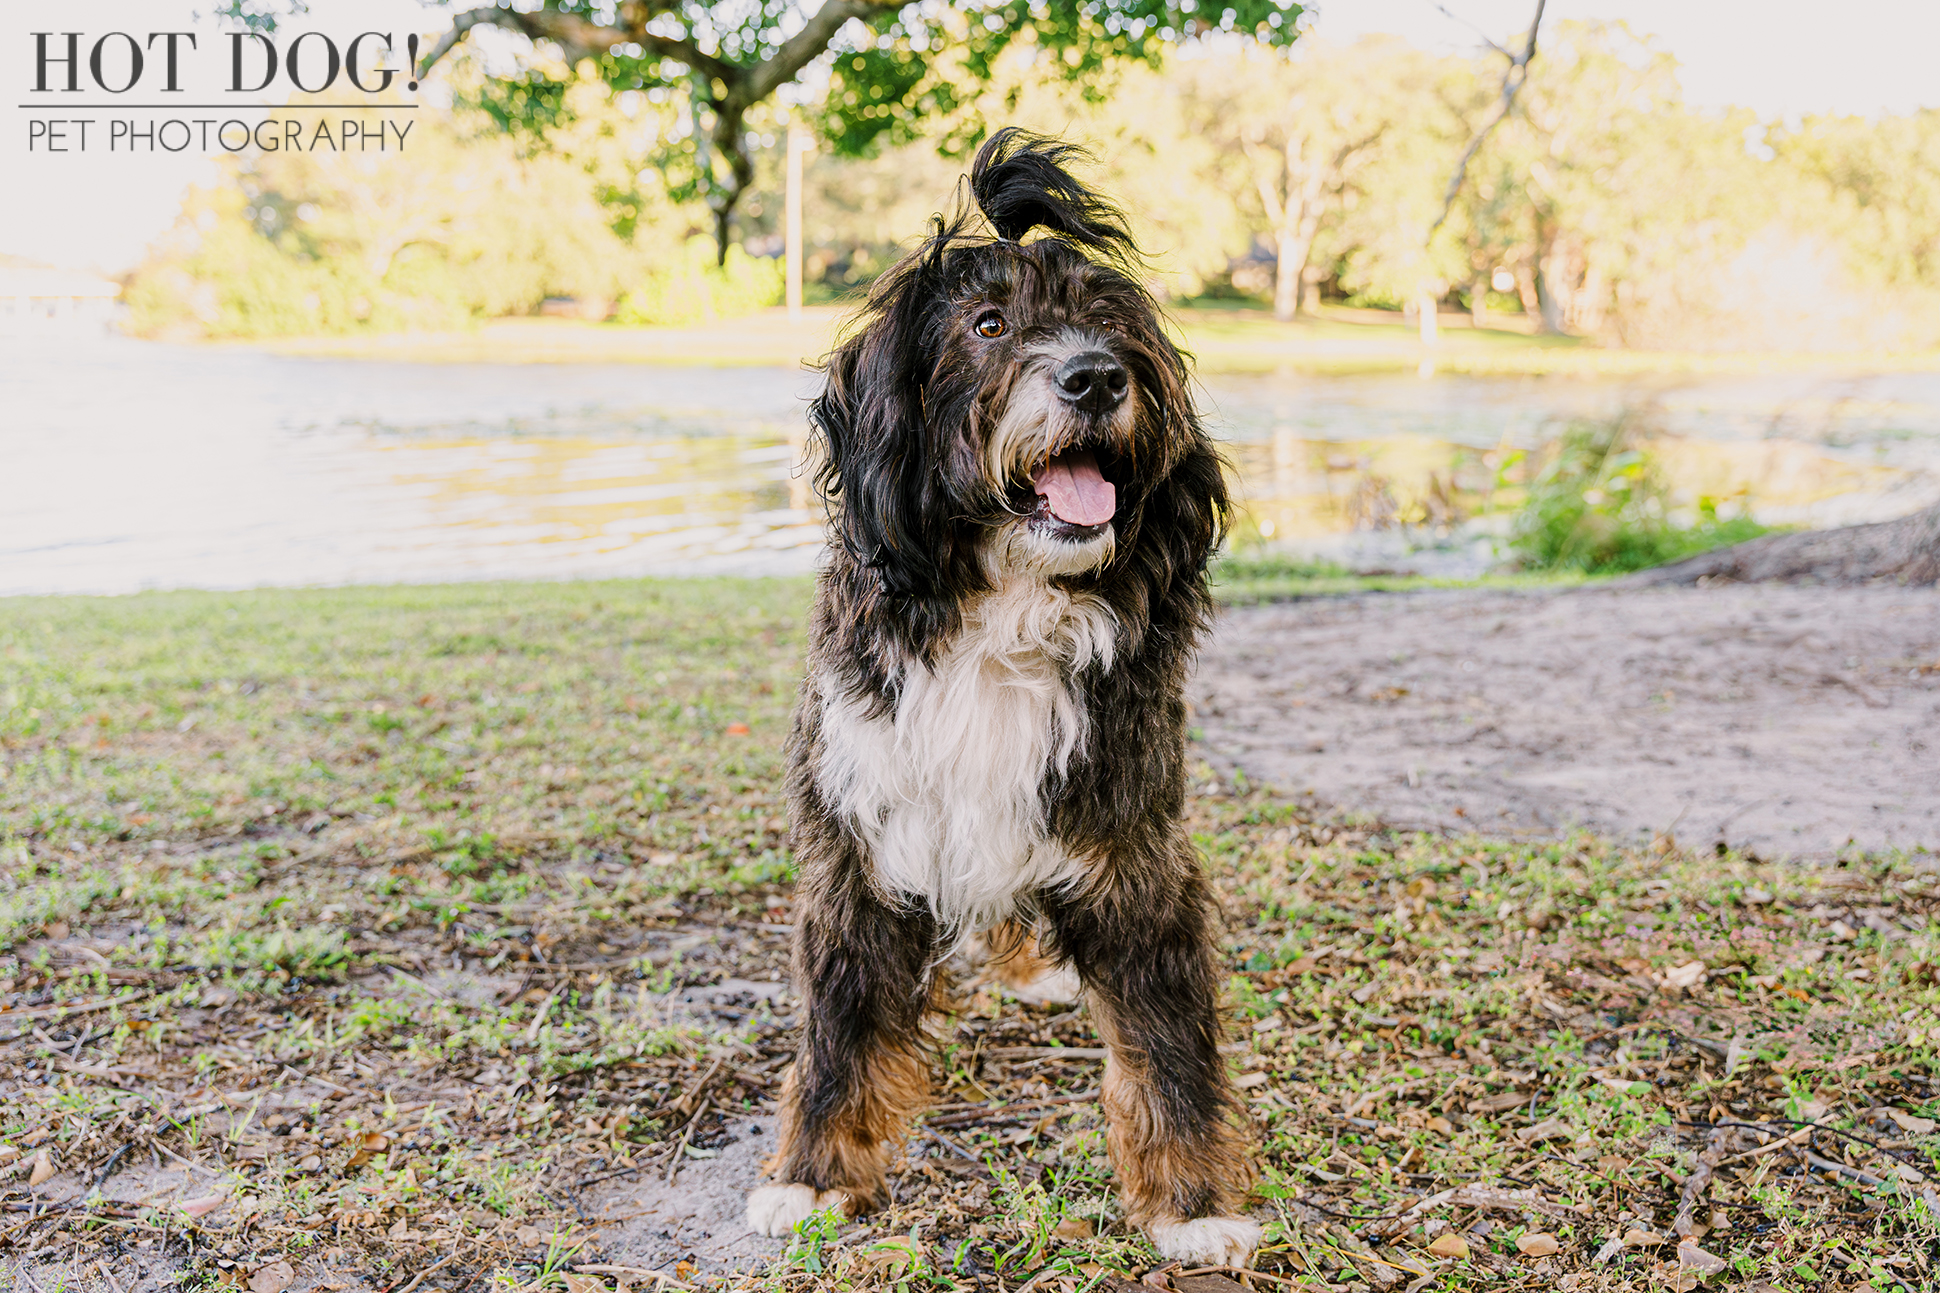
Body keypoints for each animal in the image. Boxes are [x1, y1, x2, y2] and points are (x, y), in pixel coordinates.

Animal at [741, 128, 1257, 1258]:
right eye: (987, 327)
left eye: (1113, 326)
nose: (1094, 376)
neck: (1003, 614)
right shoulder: (861, 839)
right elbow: (841, 1028)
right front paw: (811, 1176)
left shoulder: (1130, 843)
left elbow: (1167, 1042)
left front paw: (1195, 1203)